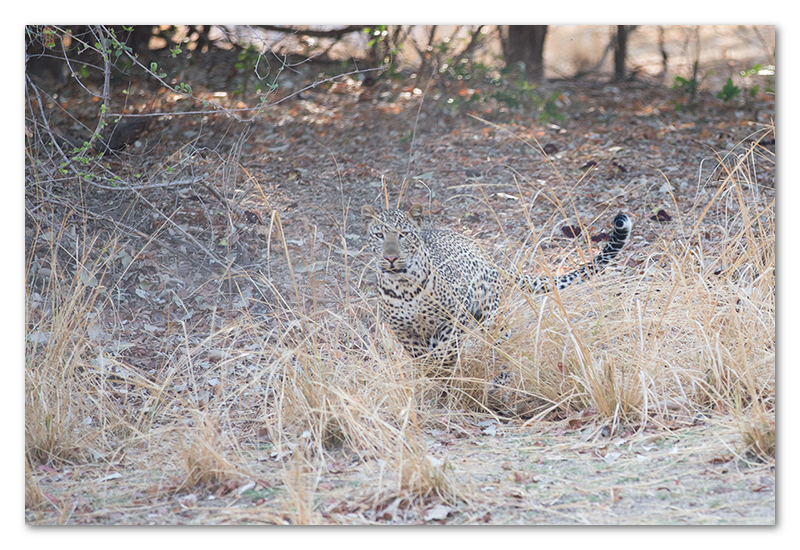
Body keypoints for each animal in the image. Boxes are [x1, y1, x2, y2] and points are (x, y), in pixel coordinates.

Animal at [360, 203, 632, 366]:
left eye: (403, 235)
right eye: (379, 235)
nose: (390, 258)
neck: (402, 285)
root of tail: (489, 260)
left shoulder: (453, 319)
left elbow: (445, 349)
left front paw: (444, 371)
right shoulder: (403, 332)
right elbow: (422, 358)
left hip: (490, 316)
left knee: (502, 337)